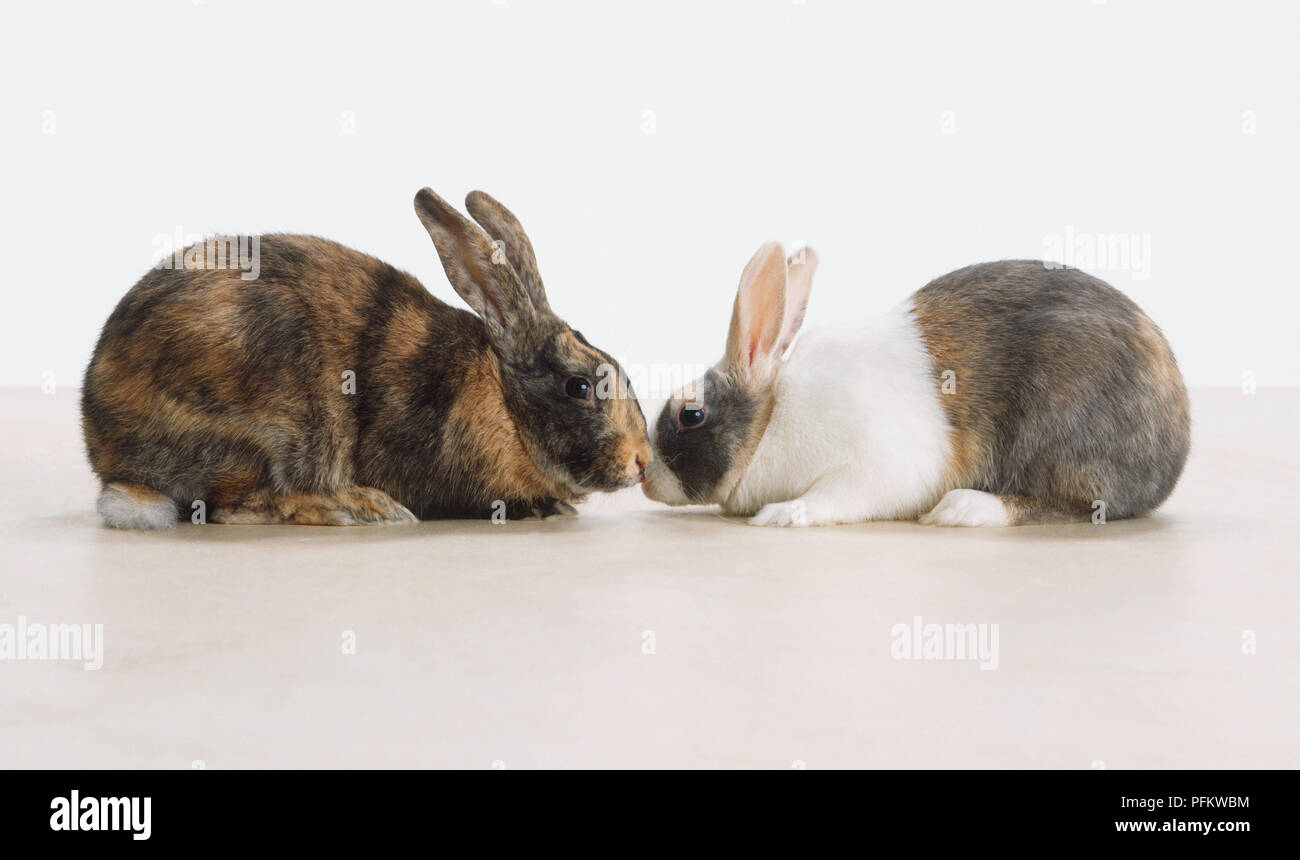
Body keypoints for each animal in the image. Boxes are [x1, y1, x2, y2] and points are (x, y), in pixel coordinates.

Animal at [82, 187, 653, 528]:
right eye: (579, 387)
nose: (643, 461)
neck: (503, 401)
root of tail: (109, 455)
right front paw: (548, 506)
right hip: (270, 437)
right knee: (235, 507)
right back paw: (361, 507)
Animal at [642, 241, 1190, 527]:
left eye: (691, 414)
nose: (646, 477)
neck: (773, 419)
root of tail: (1177, 444)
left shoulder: (874, 468)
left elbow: (833, 498)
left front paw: (782, 513)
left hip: (1058, 444)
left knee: (1066, 507)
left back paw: (963, 509)